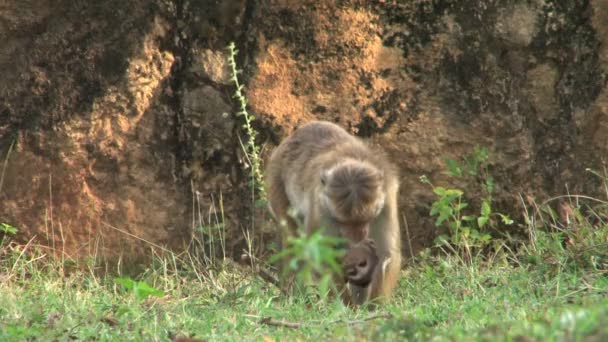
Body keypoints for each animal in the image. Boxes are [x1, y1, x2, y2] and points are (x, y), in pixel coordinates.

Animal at [264, 120, 400, 304]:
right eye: (343, 221)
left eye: (364, 220)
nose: (357, 234)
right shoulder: (321, 209)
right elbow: (320, 255)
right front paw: (347, 306)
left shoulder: (387, 202)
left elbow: (386, 253)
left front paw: (374, 305)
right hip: (275, 179)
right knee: (292, 237)